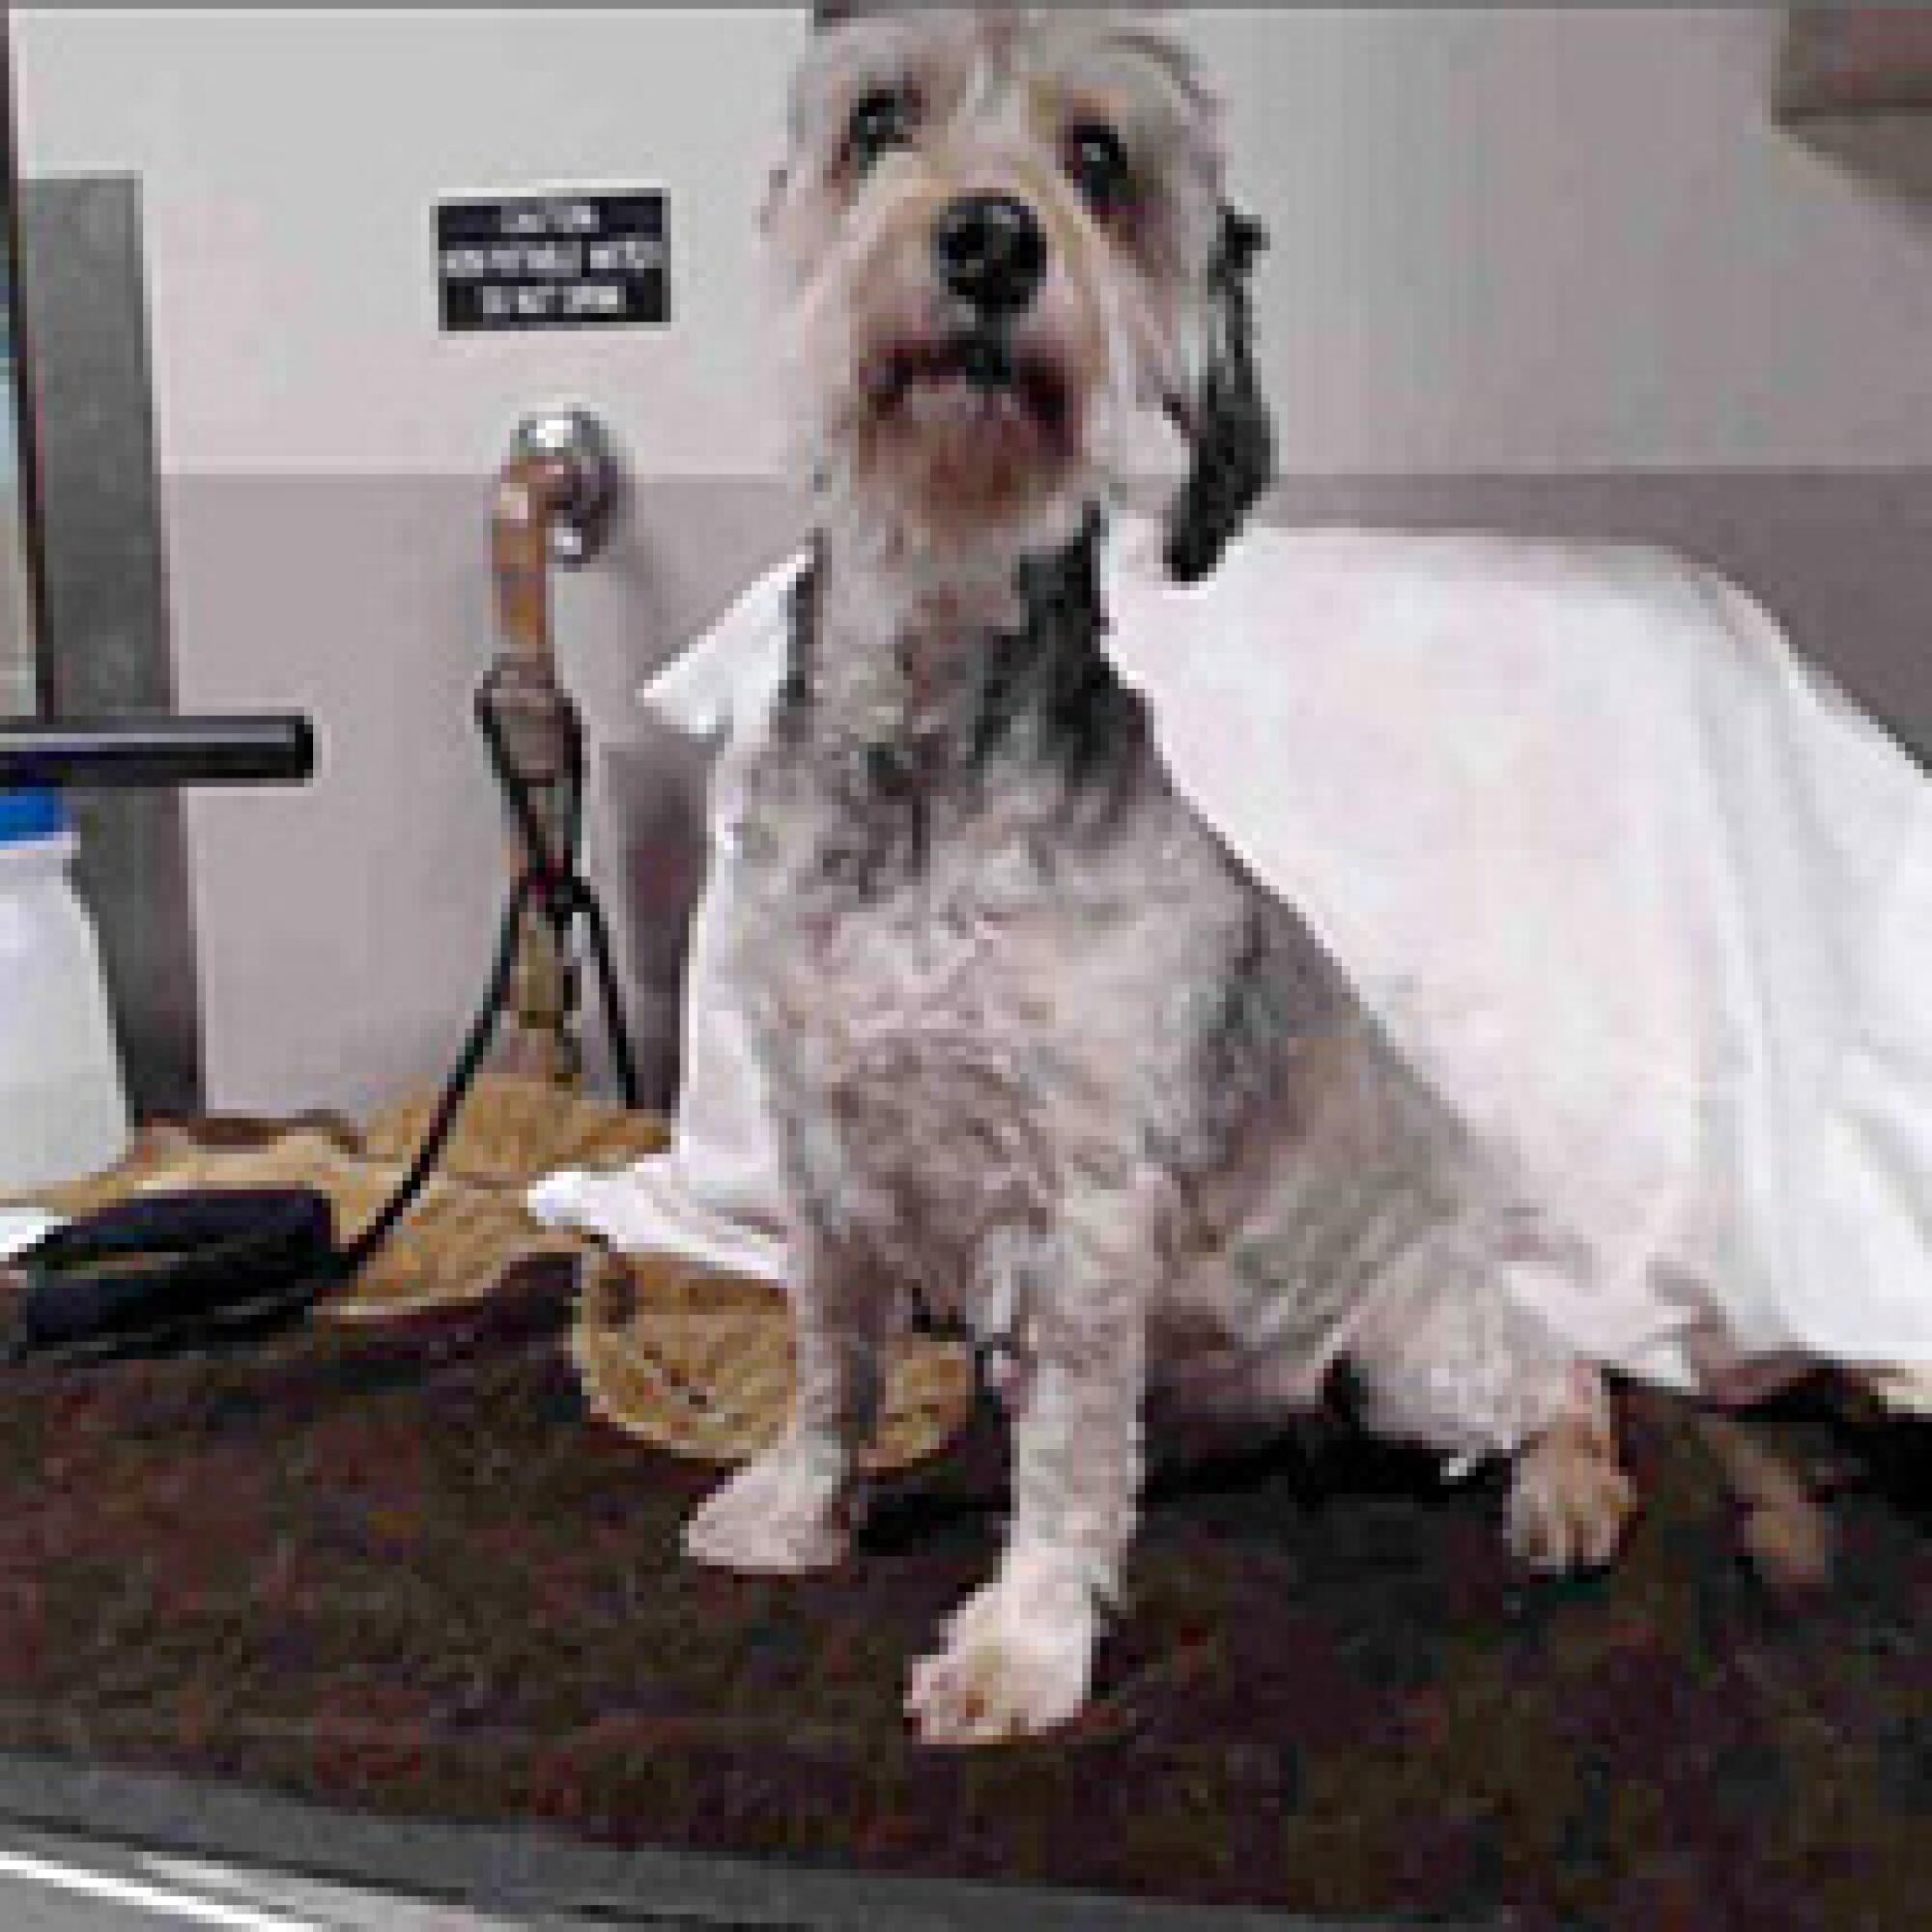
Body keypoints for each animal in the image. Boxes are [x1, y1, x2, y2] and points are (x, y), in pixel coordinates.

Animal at [680, 3, 1631, 1754]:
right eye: (878, 119)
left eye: (1099, 159)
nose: (991, 238)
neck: (926, 762)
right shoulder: (822, 1150)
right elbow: (834, 1362)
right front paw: (797, 1508)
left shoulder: (1087, 1202)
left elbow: (1064, 1458)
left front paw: (1023, 1645)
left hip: (1410, 1346)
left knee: (1567, 1377)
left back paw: (1568, 1497)